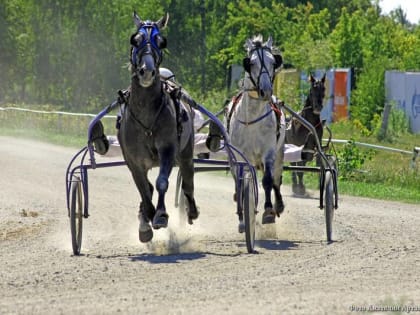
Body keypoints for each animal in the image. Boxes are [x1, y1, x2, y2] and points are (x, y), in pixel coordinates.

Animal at [116, 11, 199, 244]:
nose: (147, 72)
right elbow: (144, 189)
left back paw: (191, 209)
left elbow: (162, 182)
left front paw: (160, 215)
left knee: (188, 179)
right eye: (135, 40)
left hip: (186, 152)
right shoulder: (133, 160)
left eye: (161, 42)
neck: (146, 114)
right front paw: (146, 219)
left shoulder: (168, 149)